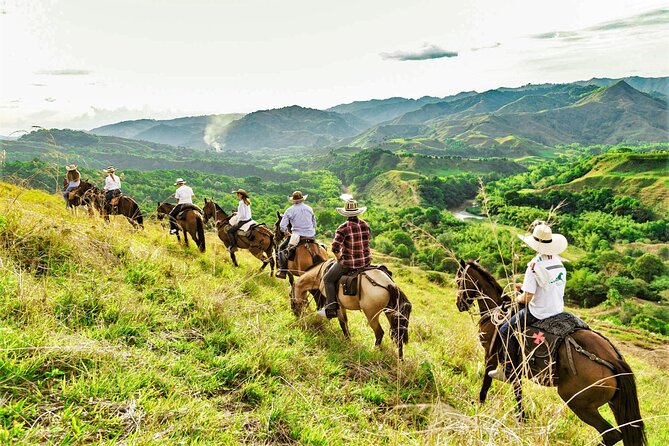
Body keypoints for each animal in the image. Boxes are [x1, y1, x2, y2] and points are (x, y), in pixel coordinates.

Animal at [456, 260, 644, 446]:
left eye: (459, 280)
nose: (459, 304)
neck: (496, 311)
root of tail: (612, 358)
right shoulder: (517, 367)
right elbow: (518, 391)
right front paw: (521, 418)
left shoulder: (491, 354)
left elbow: (487, 381)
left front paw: (479, 404)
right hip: (614, 403)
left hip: (578, 403)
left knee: (611, 435)